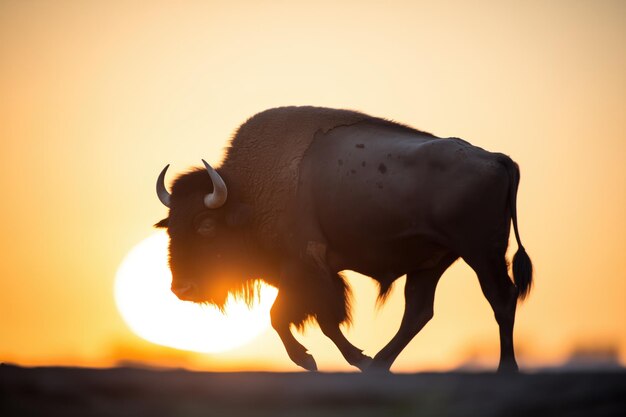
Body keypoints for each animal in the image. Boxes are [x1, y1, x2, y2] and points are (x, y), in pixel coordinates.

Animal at [154, 105, 528, 372]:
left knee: (501, 299)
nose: (182, 288)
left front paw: (322, 359)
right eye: (171, 226)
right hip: (433, 262)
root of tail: (498, 159)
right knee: (418, 311)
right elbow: (293, 318)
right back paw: (380, 365)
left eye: (205, 225)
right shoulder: (302, 276)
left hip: (481, 254)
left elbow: (312, 318)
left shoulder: (306, 269)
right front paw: (337, 359)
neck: (249, 196)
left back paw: (505, 370)